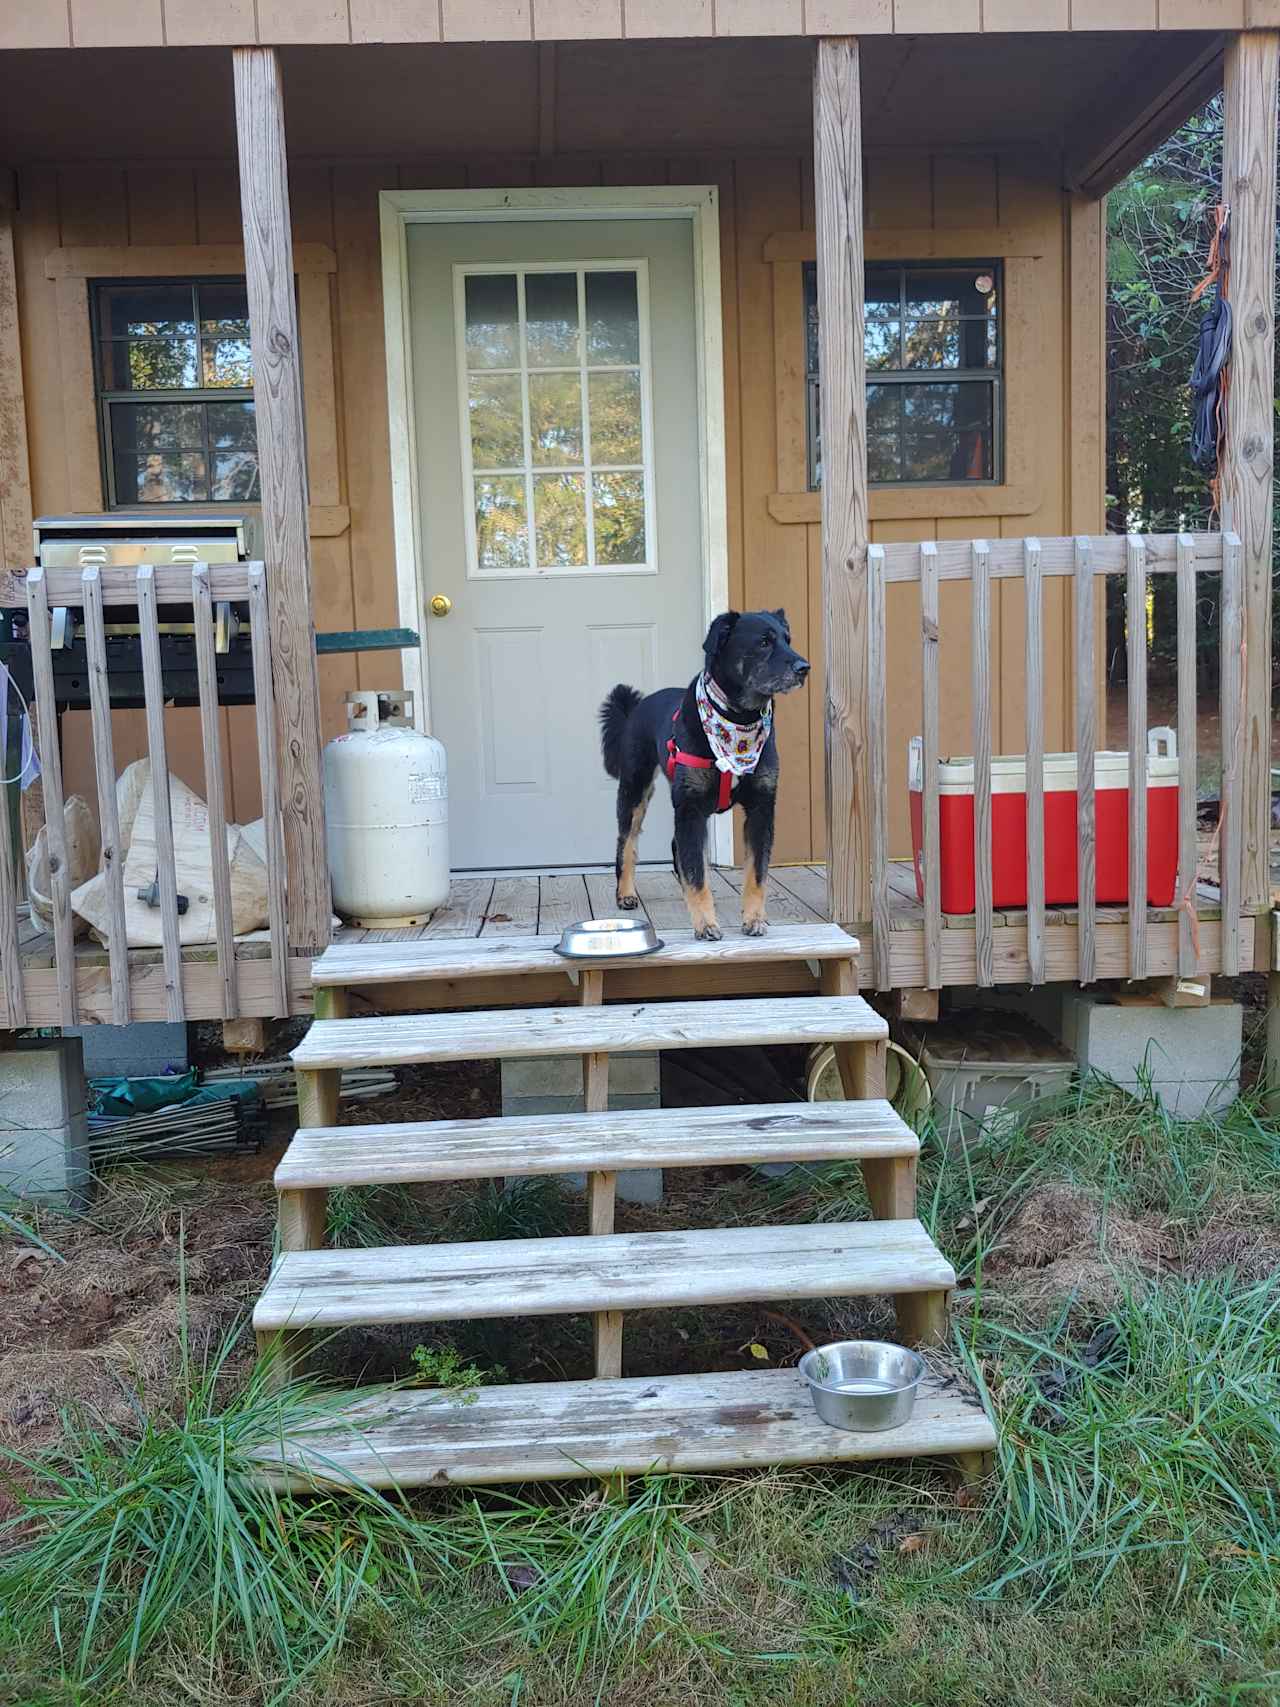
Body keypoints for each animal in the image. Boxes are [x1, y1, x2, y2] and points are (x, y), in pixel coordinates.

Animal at [600, 611, 812, 942]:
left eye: (788, 640)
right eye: (763, 642)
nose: (804, 668)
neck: (738, 719)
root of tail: (636, 708)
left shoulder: (762, 808)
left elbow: (757, 874)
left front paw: (754, 919)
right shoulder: (690, 808)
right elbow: (696, 874)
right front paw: (705, 924)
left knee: (677, 848)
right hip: (635, 789)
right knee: (627, 842)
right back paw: (625, 893)